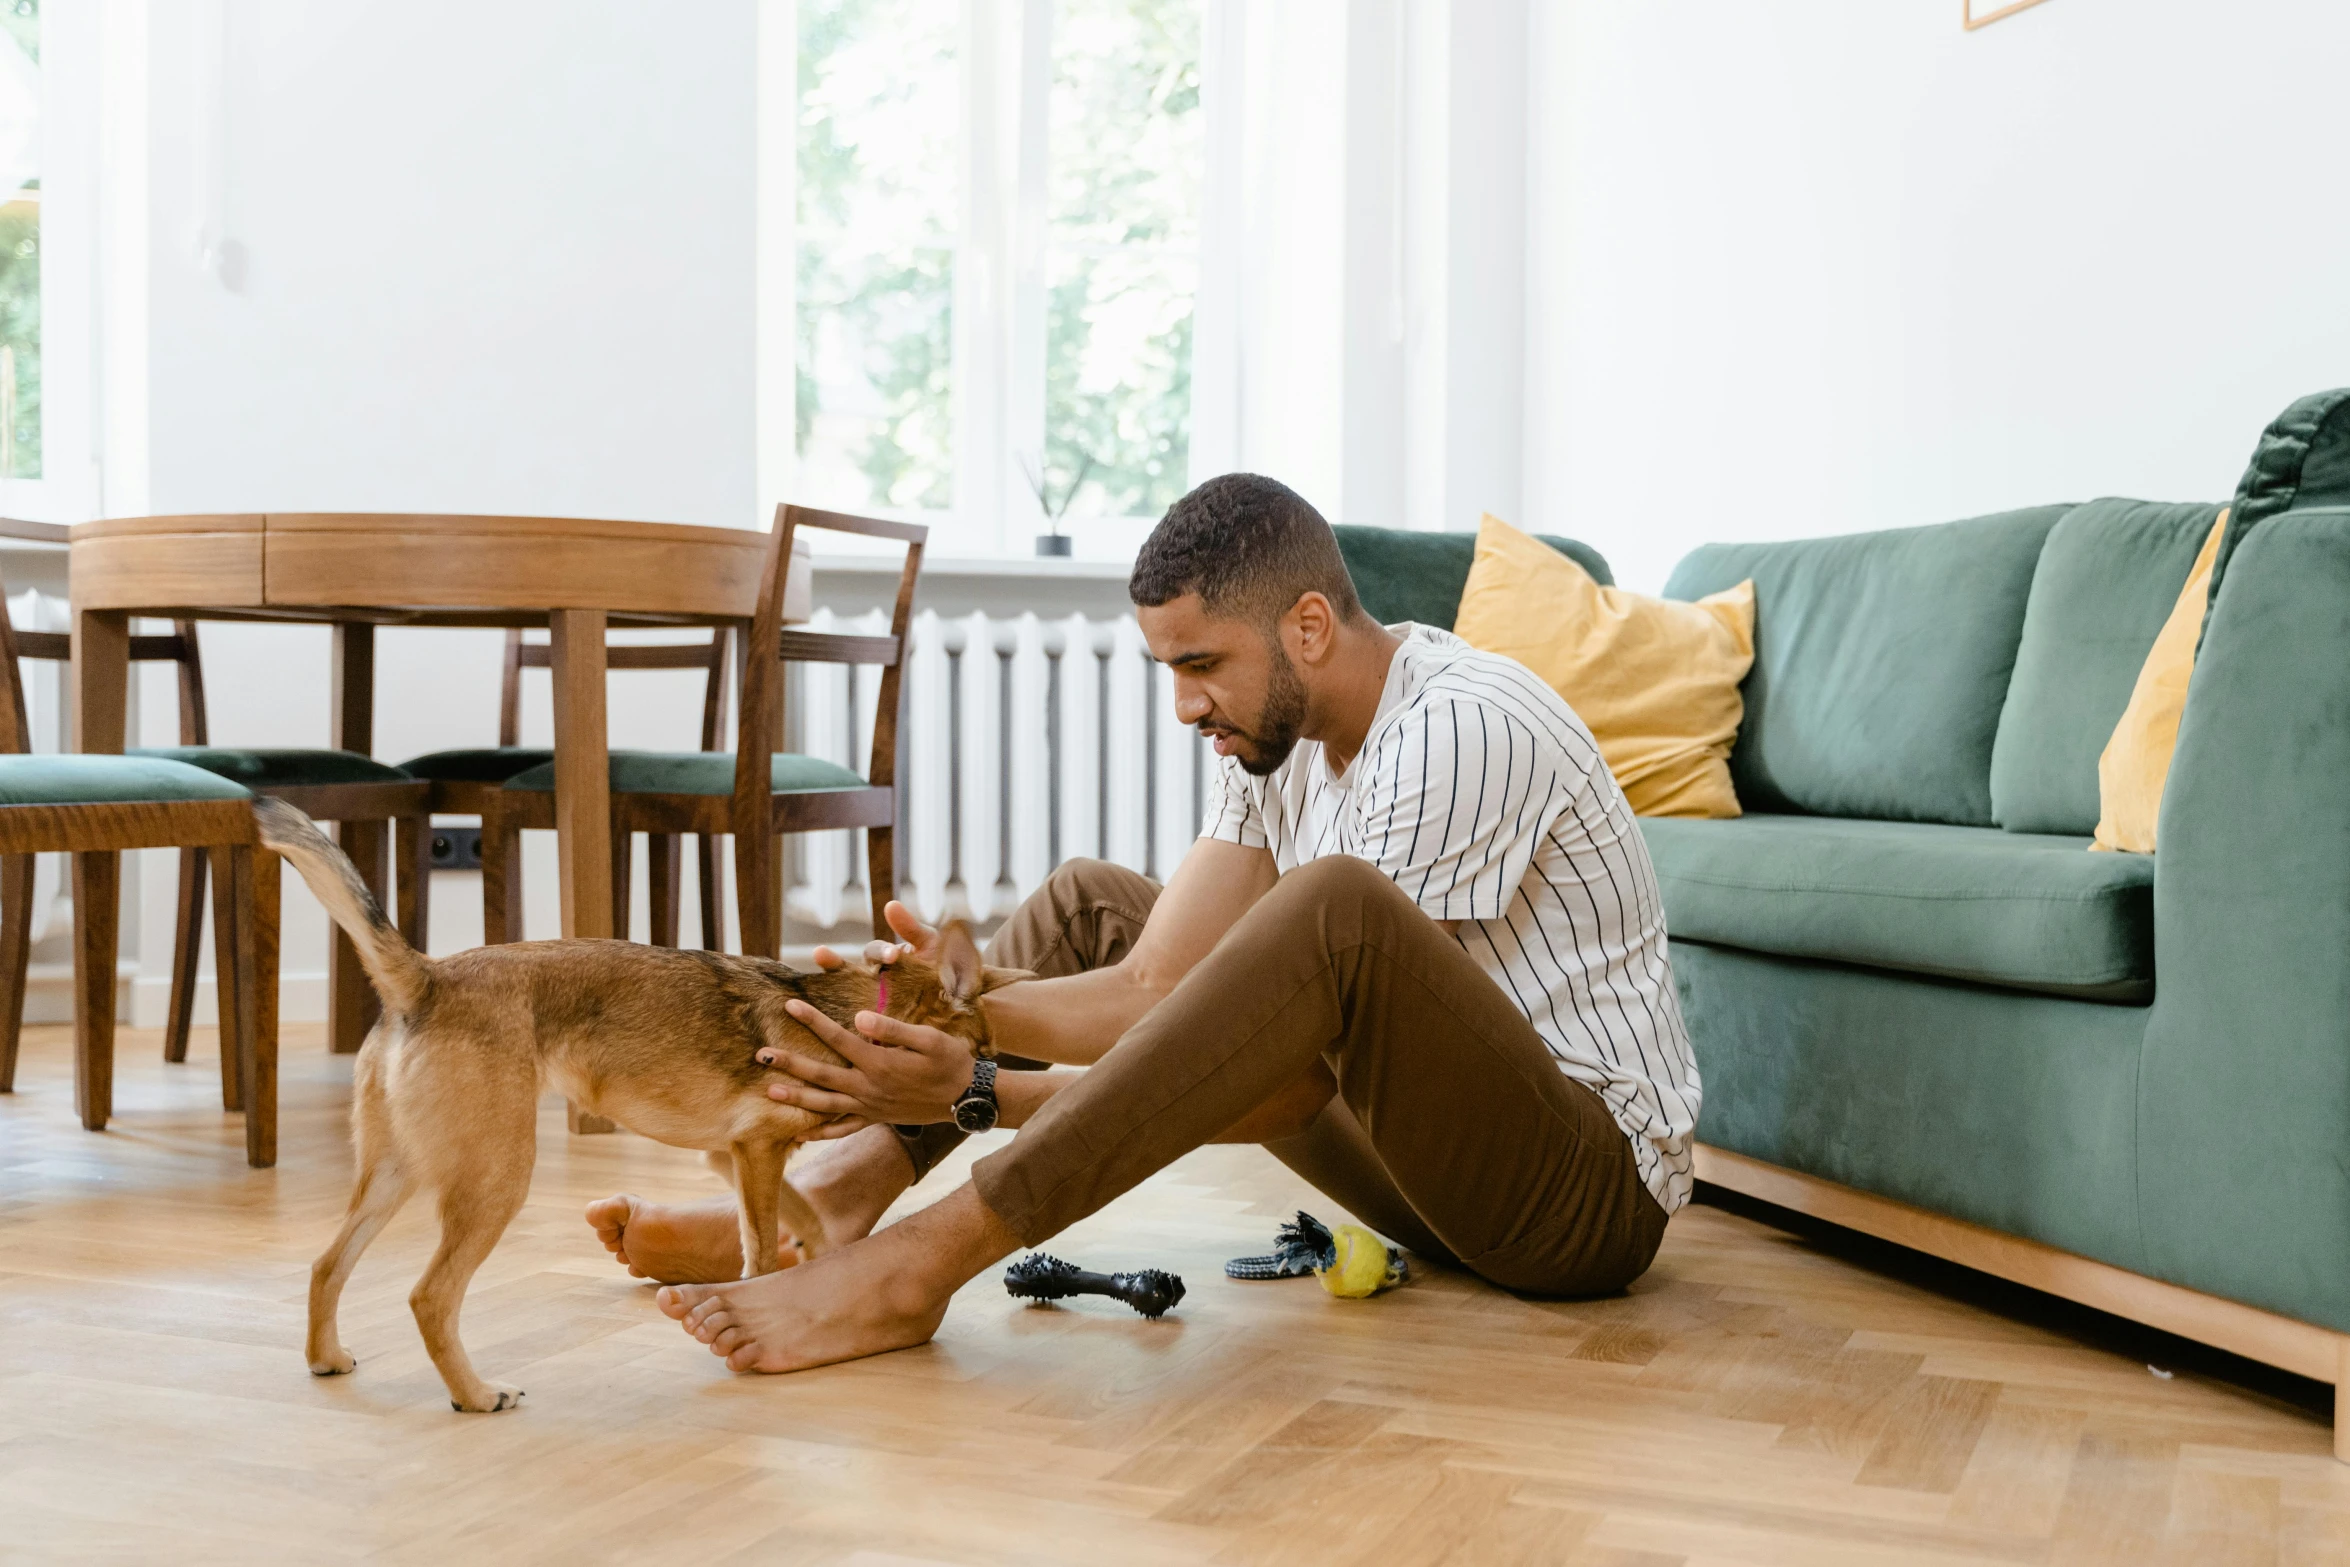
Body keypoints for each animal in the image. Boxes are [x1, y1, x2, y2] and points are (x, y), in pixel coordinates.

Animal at [257, 803, 1019, 1418]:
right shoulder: (757, 1154)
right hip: (495, 1180)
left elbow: (803, 1222)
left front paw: (818, 1272)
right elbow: (762, 1247)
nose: (986, 1106)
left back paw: (326, 1356)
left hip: (393, 1174)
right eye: (981, 1052)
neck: (852, 1011)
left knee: (327, 1264)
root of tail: (428, 979)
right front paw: (768, 1296)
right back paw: (474, 1394)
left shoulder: (732, 1156)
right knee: (430, 1297)